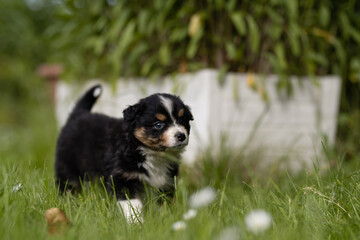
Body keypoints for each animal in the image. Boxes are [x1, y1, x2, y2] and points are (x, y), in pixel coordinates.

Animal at [54, 85, 193, 222]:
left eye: (182, 120)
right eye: (159, 124)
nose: (181, 136)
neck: (149, 153)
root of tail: (78, 115)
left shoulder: (166, 182)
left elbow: (162, 205)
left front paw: (164, 220)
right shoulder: (123, 178)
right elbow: (133, 205)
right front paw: (136, 223)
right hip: (68, 168)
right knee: (67, 185)